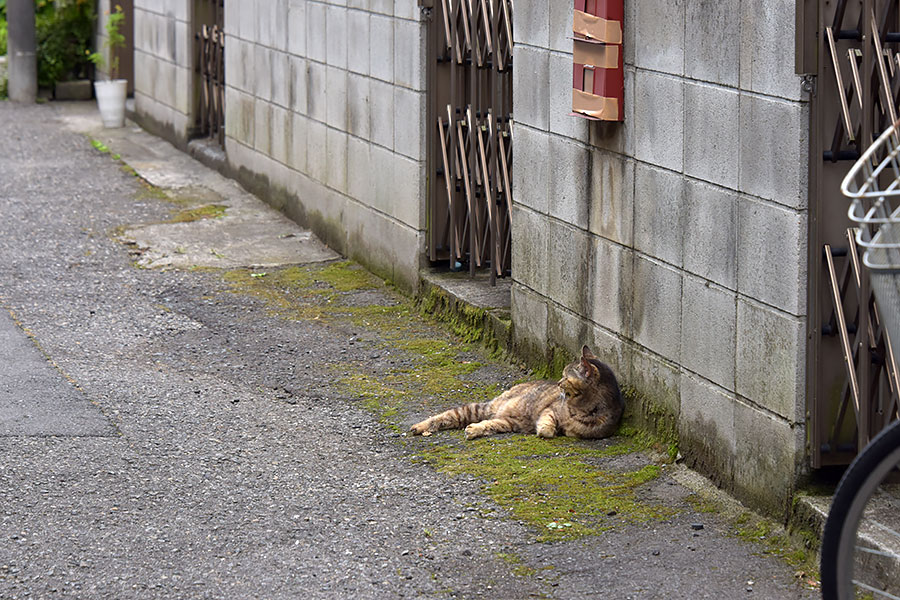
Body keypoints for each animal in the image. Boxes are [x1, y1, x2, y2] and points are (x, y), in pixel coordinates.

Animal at [412, 344, 624, 438]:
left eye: (565, 377)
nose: (558, 383)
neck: (582, 408)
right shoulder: (550, 410)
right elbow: (547, 422)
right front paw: (545, 429)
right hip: (477, 410)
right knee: (443, 417)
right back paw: (419, 427)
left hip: (506, 422)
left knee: (488, 424)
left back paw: (474, 430)